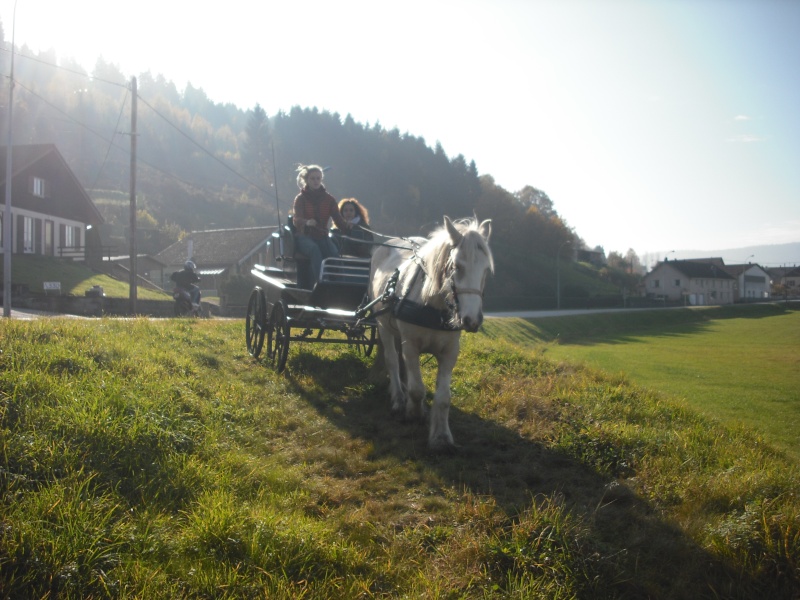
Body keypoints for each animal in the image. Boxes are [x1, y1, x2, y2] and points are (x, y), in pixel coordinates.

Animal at [370, 216, 494, 450]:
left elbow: (444, 397)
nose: (471, 320)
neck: (432, 304)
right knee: (392, 360)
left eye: (485, 271)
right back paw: (399, 398)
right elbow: (417, 389)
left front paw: (441, 436)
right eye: (457, 266)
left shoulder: (450, 352)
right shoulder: (410, 346)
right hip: (383, 325)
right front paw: (414, 412)